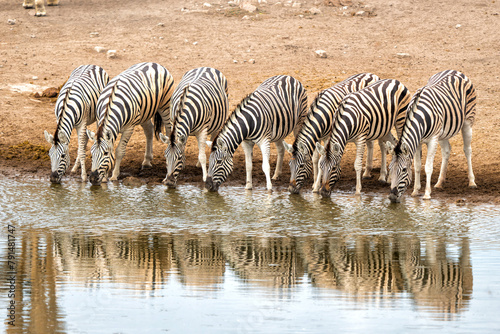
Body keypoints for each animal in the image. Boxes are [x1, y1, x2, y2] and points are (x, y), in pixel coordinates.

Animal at [386, 69, 476, 202]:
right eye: (390, 169)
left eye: (404, 170)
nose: (392, 196)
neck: (420, 118)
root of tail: (454, 70)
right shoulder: (417, 141)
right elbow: (417, 166)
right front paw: (415, 191)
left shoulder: (433, 140)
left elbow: (428, 167)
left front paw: (427, 194)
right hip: (443, 132)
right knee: (446, 150)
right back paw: (439, 182)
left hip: (467, 121)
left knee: (467, 150)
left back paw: (472, 182)